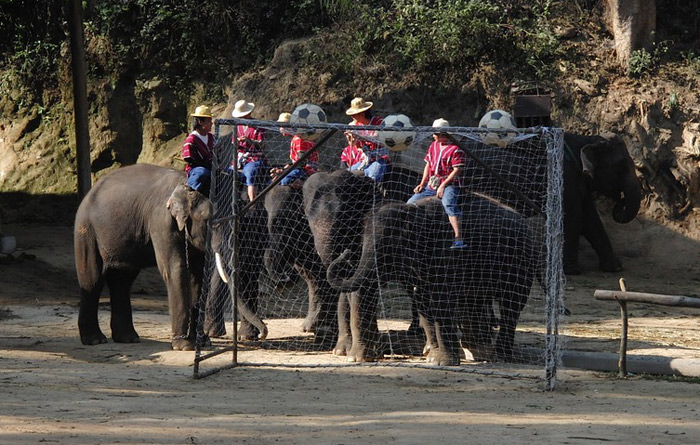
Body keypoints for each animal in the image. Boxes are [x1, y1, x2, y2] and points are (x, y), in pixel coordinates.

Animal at [74, 163, 266, 350]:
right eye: (210, 222)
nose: (264, 333)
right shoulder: (162, 220)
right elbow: (176, 269)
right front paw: (185, 346)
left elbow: (197, 275)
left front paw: (202, 343)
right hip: (86, 229)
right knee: (93, 279)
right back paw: (95, 340)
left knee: (122, 280)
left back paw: (128, 339)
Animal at [326, 194, 536, 364]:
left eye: (390, 243)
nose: (345, 252)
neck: (413, 211)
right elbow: (422, 301)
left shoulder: (445, 250)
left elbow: (440, 299)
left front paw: (442, 362)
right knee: (473, 301)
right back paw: (477, 352)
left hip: (521, 262)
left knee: (511, 305)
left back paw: (500, 356)